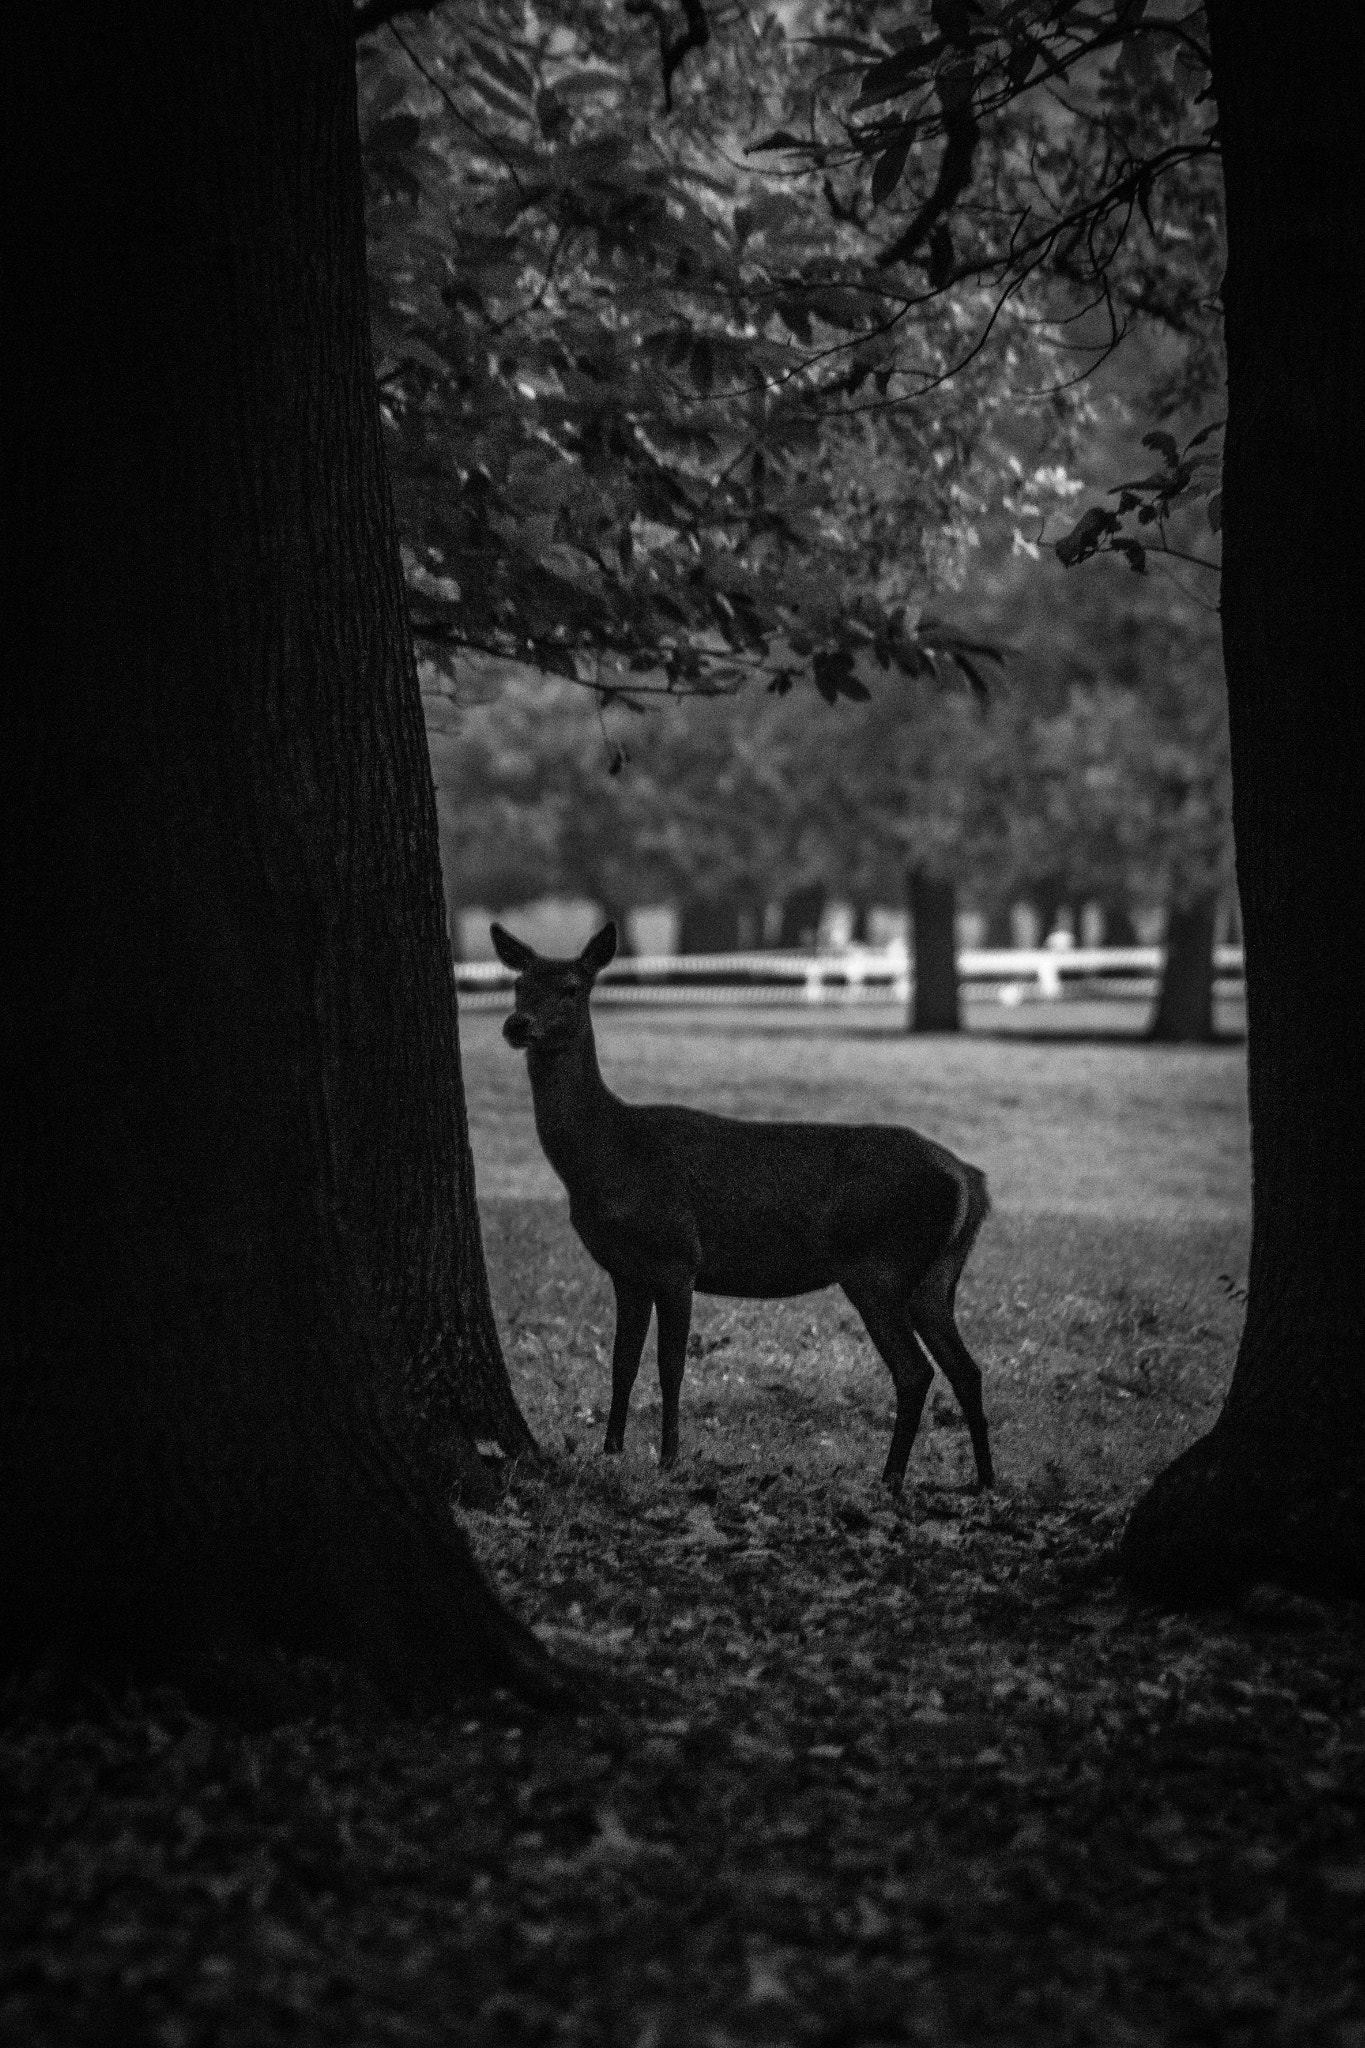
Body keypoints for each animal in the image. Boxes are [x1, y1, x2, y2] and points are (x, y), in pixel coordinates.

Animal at [491, 921, 994, 1493]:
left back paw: (889, 1478)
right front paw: (611, 1450)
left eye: (571, 987)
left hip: (881, 1266)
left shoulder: (677, 1254)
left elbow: (670, 1363)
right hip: (934, 1277)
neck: (608, 1154)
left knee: (915, 1370)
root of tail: (970, 1180)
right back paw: (982, 1480)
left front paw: (668, 1457)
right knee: (966, 1368)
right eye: (518, 984)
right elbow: (622, 1361)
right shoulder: (625, 1269)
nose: (517, 1024)